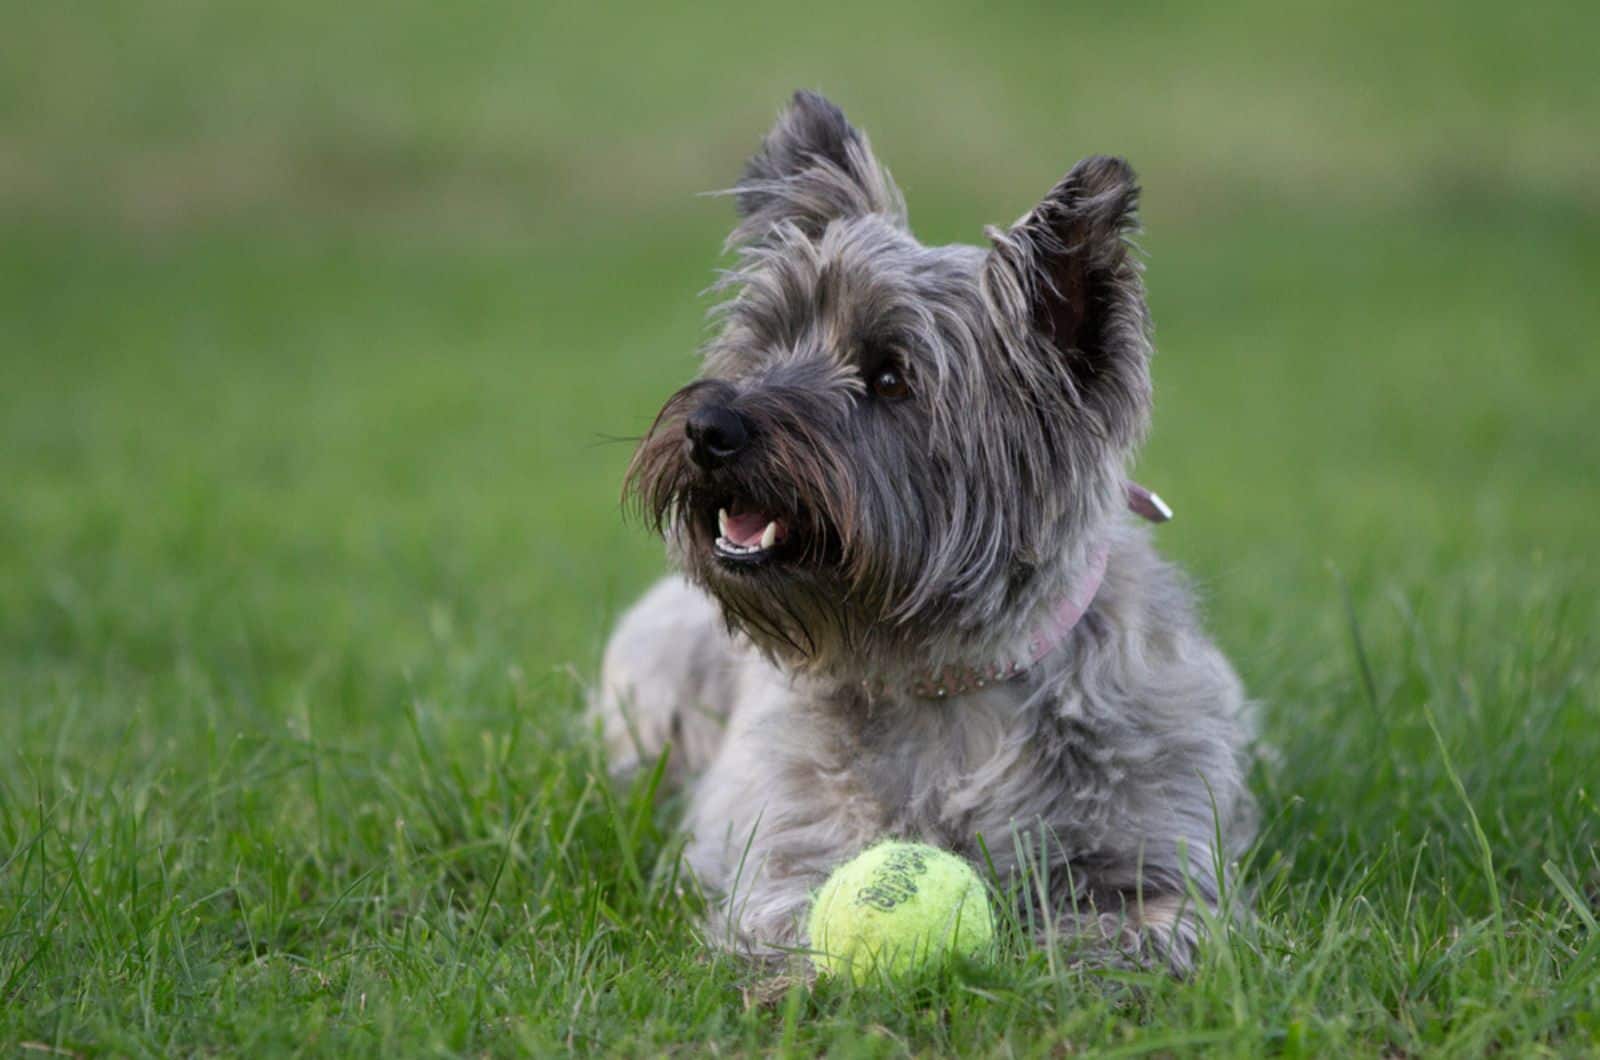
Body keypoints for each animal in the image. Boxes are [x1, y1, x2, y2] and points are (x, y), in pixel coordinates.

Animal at [595, 93, 1254, 979]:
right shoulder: (786, 846)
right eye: (768, 340)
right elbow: (788, 911)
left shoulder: (1159, 855)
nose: (709, 427)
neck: (949, 681)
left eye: (890, 378)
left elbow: (1145, 923)